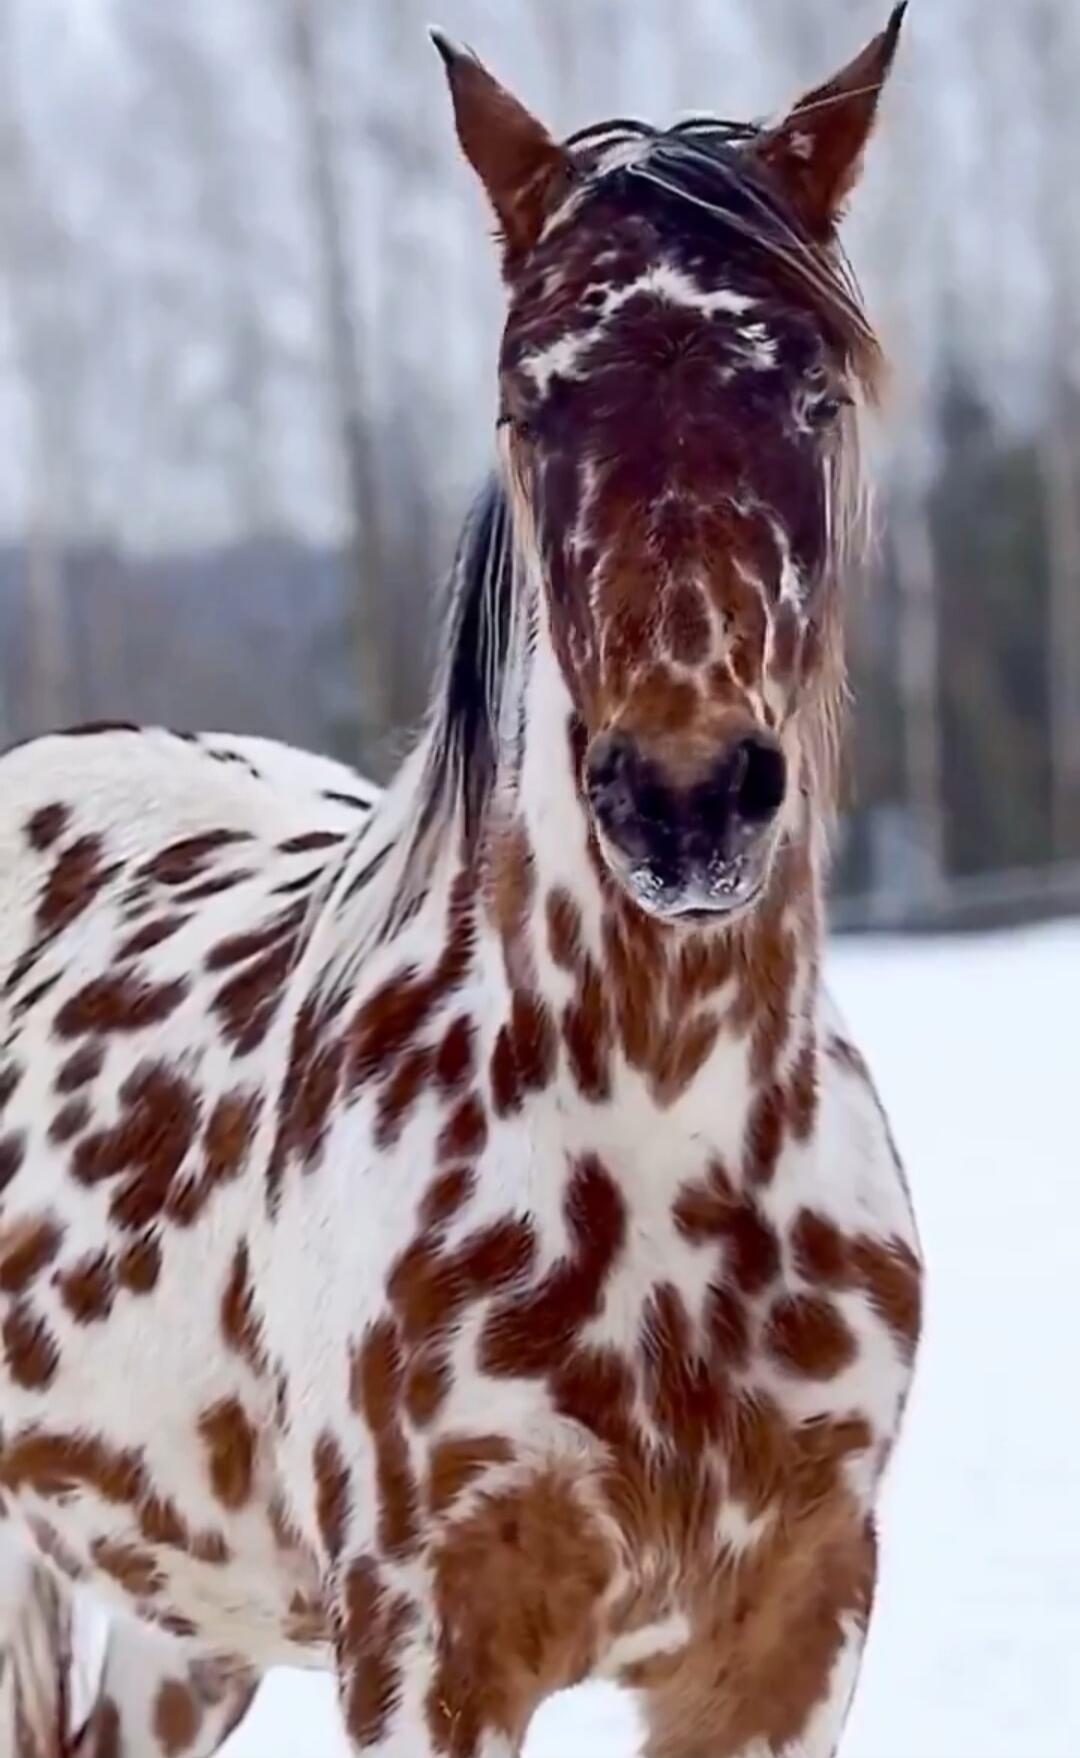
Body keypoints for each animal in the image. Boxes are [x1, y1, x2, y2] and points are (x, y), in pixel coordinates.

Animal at [0, 9, 921, 1757]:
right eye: (529, 396)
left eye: (812, 386)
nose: (684, 797)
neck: (660, 1139)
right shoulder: (430, 1642)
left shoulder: (791, 1625)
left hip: (183, 1611)